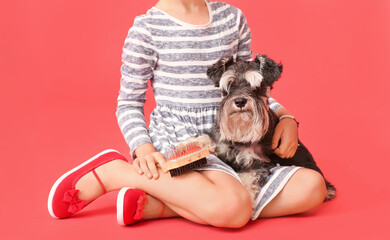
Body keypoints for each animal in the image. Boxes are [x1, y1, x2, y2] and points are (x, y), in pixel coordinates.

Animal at [192, 54, 336, 210]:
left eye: (256, 86)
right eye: (230, 85)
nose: (240, 101)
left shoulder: (256, 164)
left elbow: (247, 181)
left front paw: (248, 203)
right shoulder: (221, 143)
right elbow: (207, 139)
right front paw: (187, 145)